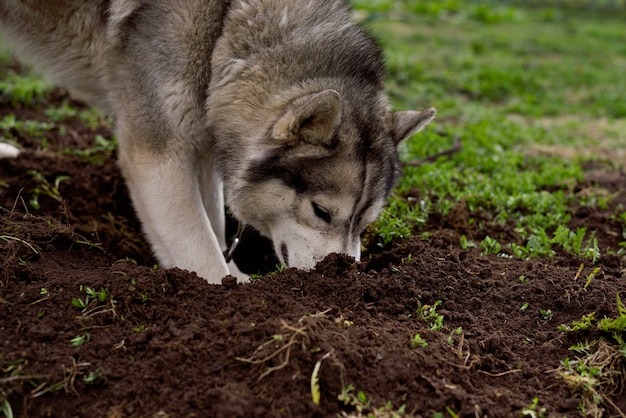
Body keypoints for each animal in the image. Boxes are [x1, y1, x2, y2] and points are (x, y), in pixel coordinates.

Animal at [0, 0, 436, 284]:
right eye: (321, 212)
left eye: (365, 223)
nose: (344, 279)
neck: (224, 26)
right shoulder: (156, 154)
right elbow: (200, 248)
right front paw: (223, 292)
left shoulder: (204, 151)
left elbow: (215, 225)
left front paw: (237, 276)